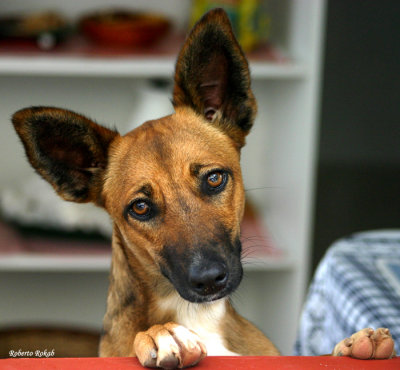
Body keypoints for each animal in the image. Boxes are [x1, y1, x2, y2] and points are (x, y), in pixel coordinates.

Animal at [10, 7, 396, 368]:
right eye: (140, 208)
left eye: (214, 179)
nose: (209, 280)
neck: (199, 317)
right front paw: (159, 335)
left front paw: (352, 346)